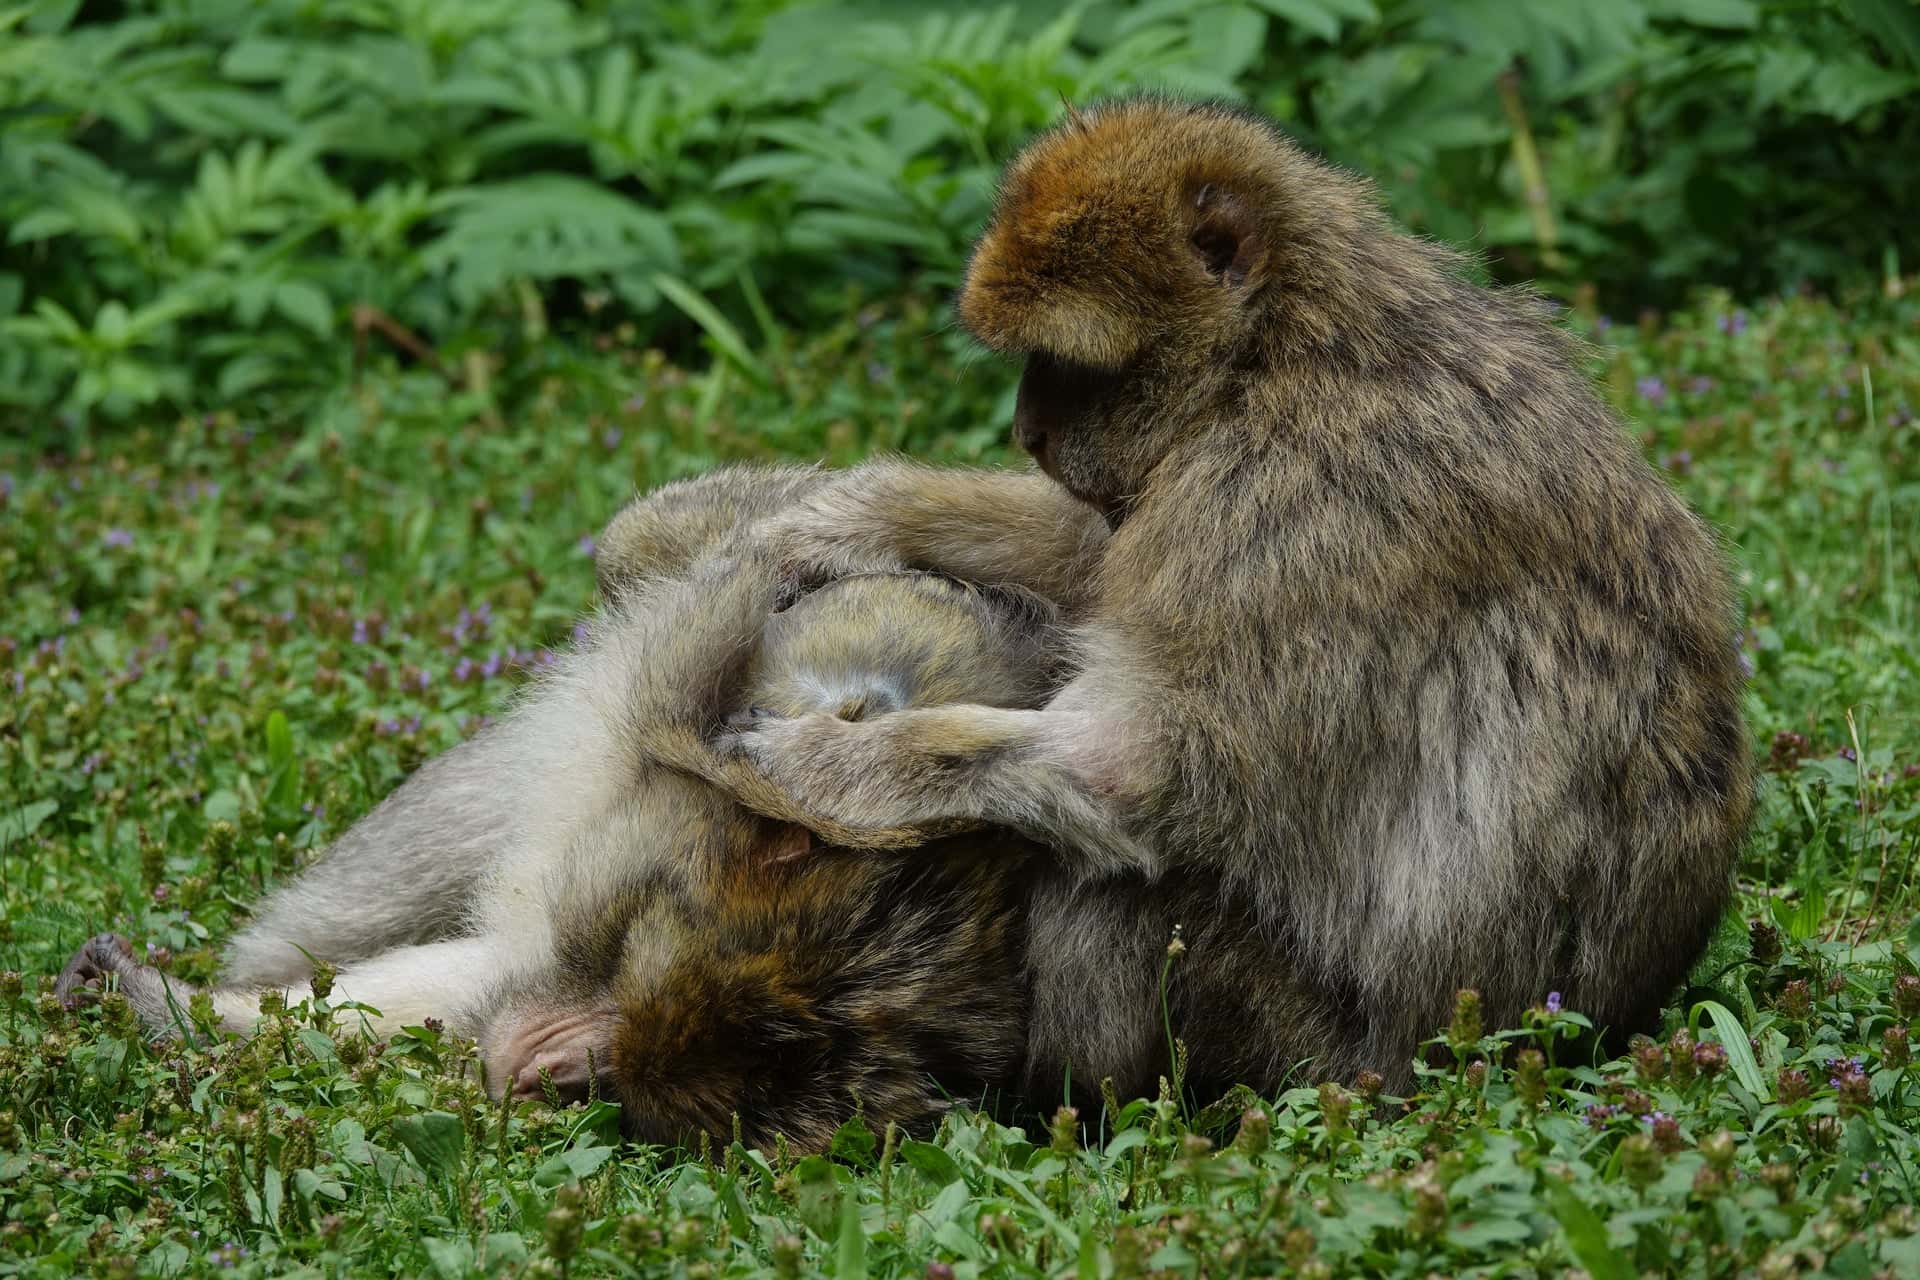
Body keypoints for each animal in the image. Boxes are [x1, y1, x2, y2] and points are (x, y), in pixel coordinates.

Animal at [719, 96, 1755, 1094]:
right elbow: (1095, 552)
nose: (1028, 431)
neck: (1277, 349)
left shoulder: (1280, 518)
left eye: (1074, 365)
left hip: (1315, 1044)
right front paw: (837, 523)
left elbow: (1137, 767)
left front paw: (833, 764)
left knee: (1115, 895)